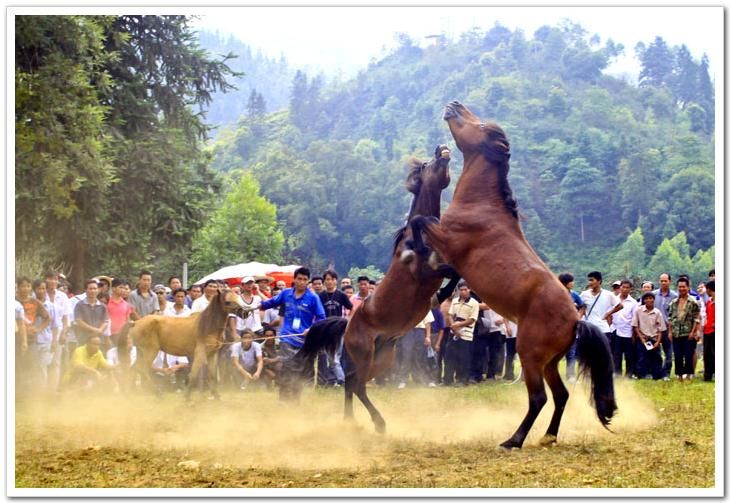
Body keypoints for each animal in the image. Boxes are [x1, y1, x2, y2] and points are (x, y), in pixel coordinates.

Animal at [279, 145, 458, 433]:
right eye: (426, 165)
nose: (441, 149)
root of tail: (347, 324)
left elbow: (454, 276)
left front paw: (439, 297)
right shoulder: (425, 273)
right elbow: (429, 236)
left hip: (382, 357)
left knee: (353, 383)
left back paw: (351, 420)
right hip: (365, 355)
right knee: (357, 384)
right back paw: (377, 423)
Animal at [408, 101, 617, 449]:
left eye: (480, 125)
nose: (453, 105)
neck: (481, 205)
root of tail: (575, 320)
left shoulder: (448, 238)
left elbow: (420, 222)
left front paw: (417, 249)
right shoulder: (458, 260)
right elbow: (451, 273)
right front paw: (440, 291)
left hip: (528, 355)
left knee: (539, 398)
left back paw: (514, 440)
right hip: (549, 362)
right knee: (561, 396)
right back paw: (548, 436)